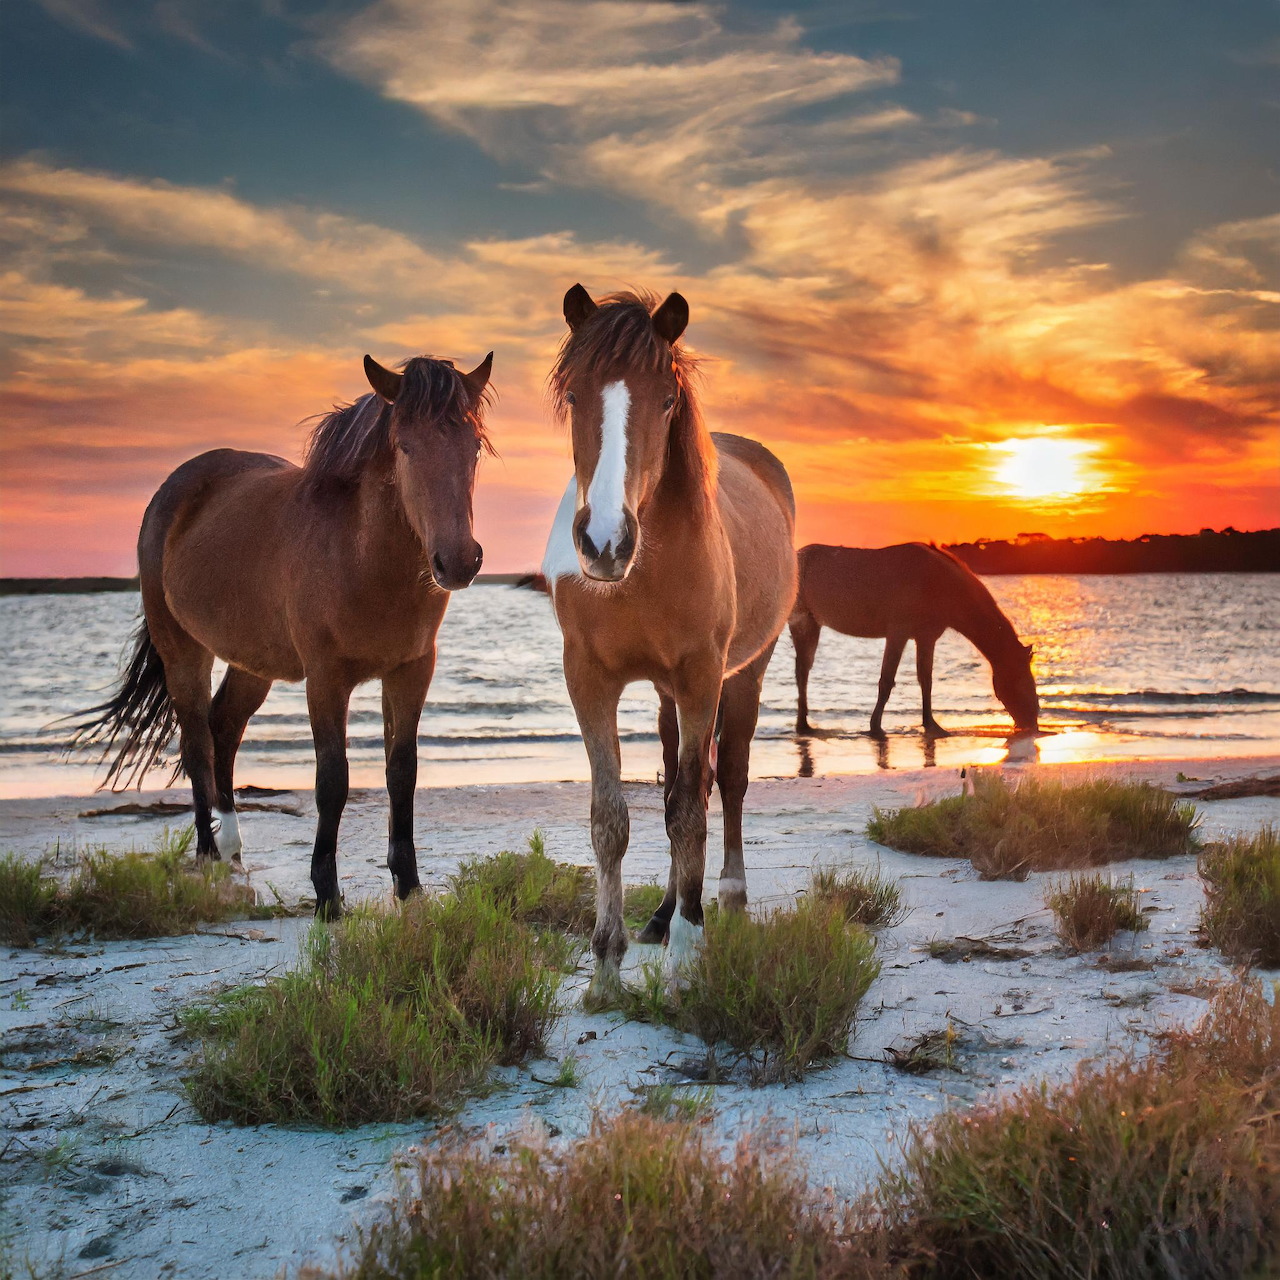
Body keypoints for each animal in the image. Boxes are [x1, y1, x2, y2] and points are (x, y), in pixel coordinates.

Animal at [71, 350, 494, 918]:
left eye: (473, 446)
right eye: (406, 445)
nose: (459, 561)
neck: (361, 555)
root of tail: (175, 487)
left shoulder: (411, 670)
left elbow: (401, 772)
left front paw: (409, 887)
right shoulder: (325, 677)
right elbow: (332, 780)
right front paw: (327, 895)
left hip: (253, 663)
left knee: (223, 728)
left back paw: (232, 849)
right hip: (183, 650)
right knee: (196, 742)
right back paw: (208, 855)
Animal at [542, 286, 797, 999]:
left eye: (665, 400)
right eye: (574, 394)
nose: (604, 543)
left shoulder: (701, 676)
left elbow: (690, 809)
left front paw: (688, 950)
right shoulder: (588, 678)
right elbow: (613, 818)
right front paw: (606, 963)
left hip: (744, 673)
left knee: (725, 779)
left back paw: (723, 898)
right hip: (663, 695)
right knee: (676, 785)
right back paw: (661, 912)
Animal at [789, 542, 1039, 738]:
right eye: (1022, 680)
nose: (1032, 724)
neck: (939, 582)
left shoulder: (926, 638)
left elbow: (925, 680)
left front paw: (931, 725)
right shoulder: (897, 634)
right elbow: (886, 680)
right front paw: (875, 727)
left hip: (813, 625)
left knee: (804, 671)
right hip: (801, 623)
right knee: (801, 672)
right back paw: (803, 725)